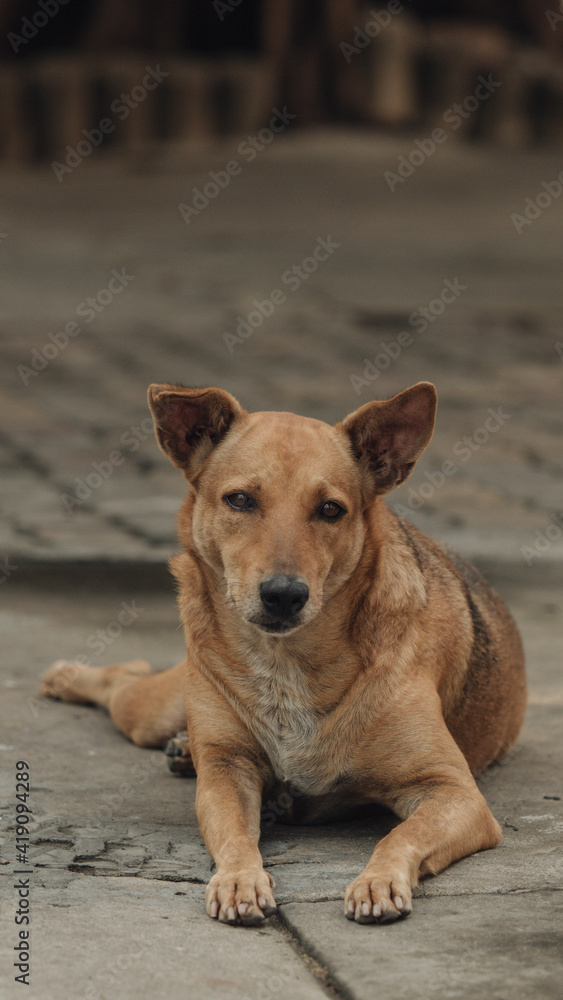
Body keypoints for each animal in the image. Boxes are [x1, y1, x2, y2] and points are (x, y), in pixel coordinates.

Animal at [41, 381, 526, 926]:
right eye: (240, 500)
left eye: (331, 509)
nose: (283, 594)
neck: (285, 663)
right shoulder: (225, 774)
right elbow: (235, 833)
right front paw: (239, 878)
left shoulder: (455, 792)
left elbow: (400, 835)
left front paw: (378, 879)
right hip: (156, 708)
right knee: (124, 681)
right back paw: (74, 680)